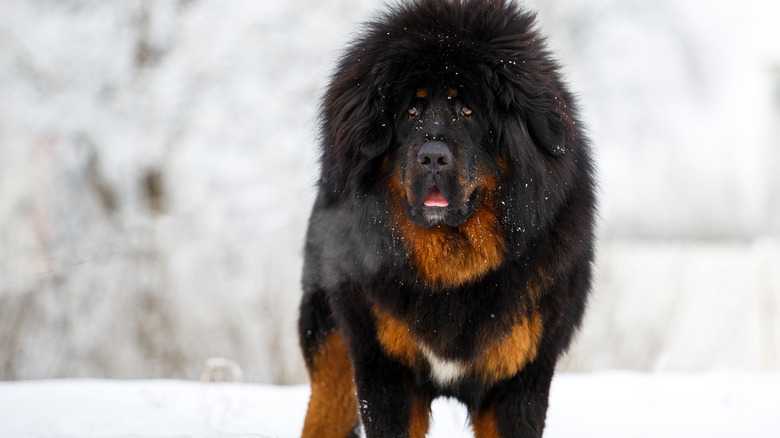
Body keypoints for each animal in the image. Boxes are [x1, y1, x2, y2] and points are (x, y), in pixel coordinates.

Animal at [298, 1, 596, 436]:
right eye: (411, 109)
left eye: (468, 110)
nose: (434, 157)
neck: (451, 272)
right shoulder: (385, 371)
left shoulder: (518, 378)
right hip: (331, 355)